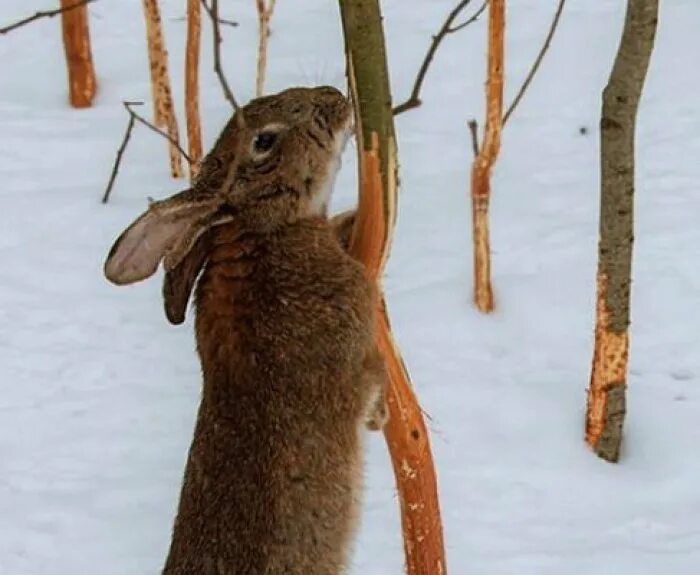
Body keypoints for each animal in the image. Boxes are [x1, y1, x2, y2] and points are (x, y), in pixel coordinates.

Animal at [102, 86, 388, 575]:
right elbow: (372, 379)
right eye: (264, 141)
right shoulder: (350, 358)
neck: (257, 234)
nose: (334, 96)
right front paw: (382, 416)